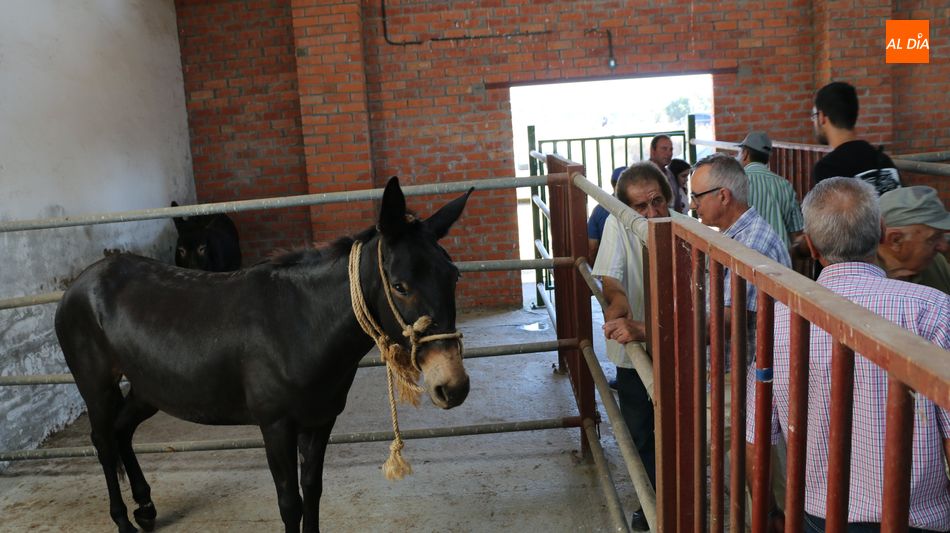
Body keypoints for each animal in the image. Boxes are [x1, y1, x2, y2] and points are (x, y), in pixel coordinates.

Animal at [55, 177, 473, 533]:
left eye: (453, 276)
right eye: (400, 286)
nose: (453, 386)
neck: (298, 325)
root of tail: (81, 282)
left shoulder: (320, 422)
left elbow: (313, 492)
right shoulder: (275, 426)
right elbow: (290, 502)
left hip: (148, 387)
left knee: (122, 430)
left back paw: (145, 507)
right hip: (96, 385)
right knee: (103, 441)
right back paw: (123, 520)